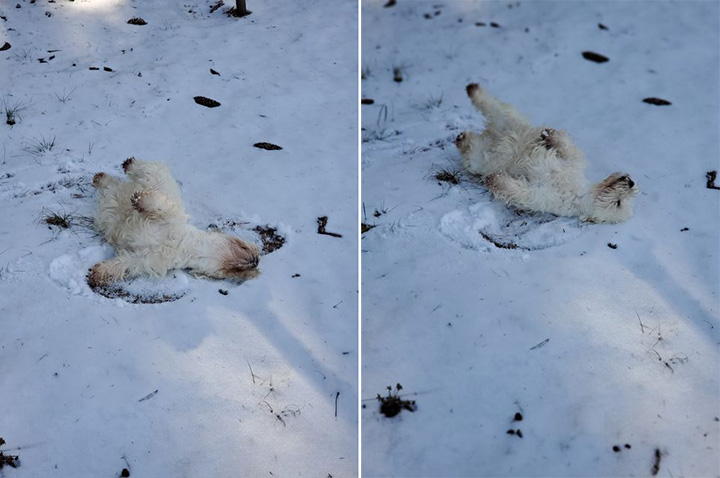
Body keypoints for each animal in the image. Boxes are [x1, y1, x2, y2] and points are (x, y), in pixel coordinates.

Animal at [87, 159, 260, 290]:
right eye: (243, 245)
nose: (256, 261)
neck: (180, 245)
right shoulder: (168, 215)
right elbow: (158, 206)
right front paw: (140, 200)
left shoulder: (145, 259)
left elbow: (124, 263)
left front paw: (99, 273)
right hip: (153, 174)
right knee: (142, 167)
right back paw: (124, 166)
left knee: (110, 183)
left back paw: (101, 178)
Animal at [456, 83, 636, 223]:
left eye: (618, 203)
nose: (630, 182)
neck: (579, 191)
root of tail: (491, 134)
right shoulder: (573, 163)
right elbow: (569, 149)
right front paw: (550, 134)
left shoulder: (543, 194)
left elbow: (520, 192)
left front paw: (496, 179)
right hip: (510, 120)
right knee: (494, 106)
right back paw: (473, 90)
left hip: (480, 159)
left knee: (473, 147)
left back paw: (463, 138)